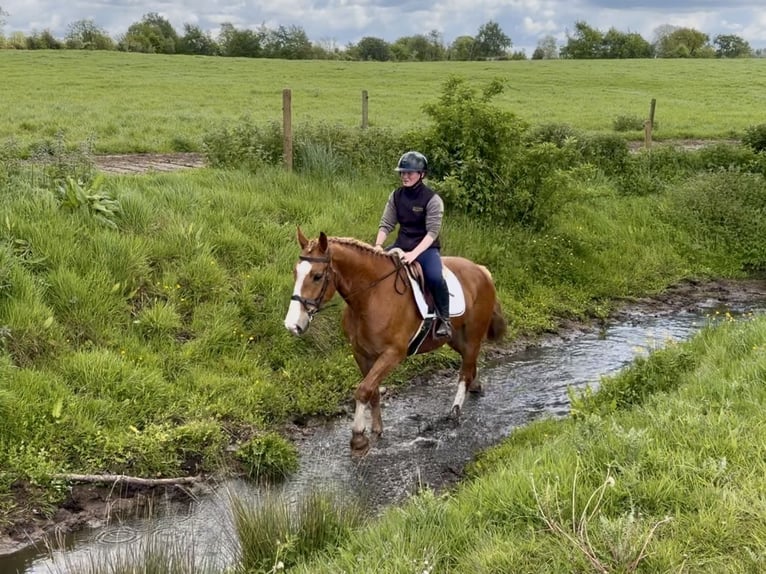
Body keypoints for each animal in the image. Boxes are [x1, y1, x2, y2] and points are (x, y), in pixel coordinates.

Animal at [284, 228, 507, 454]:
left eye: (317, 276)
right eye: (295, 273)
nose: (292, 324)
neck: (372, 296)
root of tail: (481, 270)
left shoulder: (393, 354)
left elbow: (363, 390)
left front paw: (358, 437)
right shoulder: (361, 353)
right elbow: (372, 390)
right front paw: (376, 429)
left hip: (472, 336)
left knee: (465, 371)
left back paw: (454, 411)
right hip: (456, 338)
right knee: (469, 363)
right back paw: (475, 386)